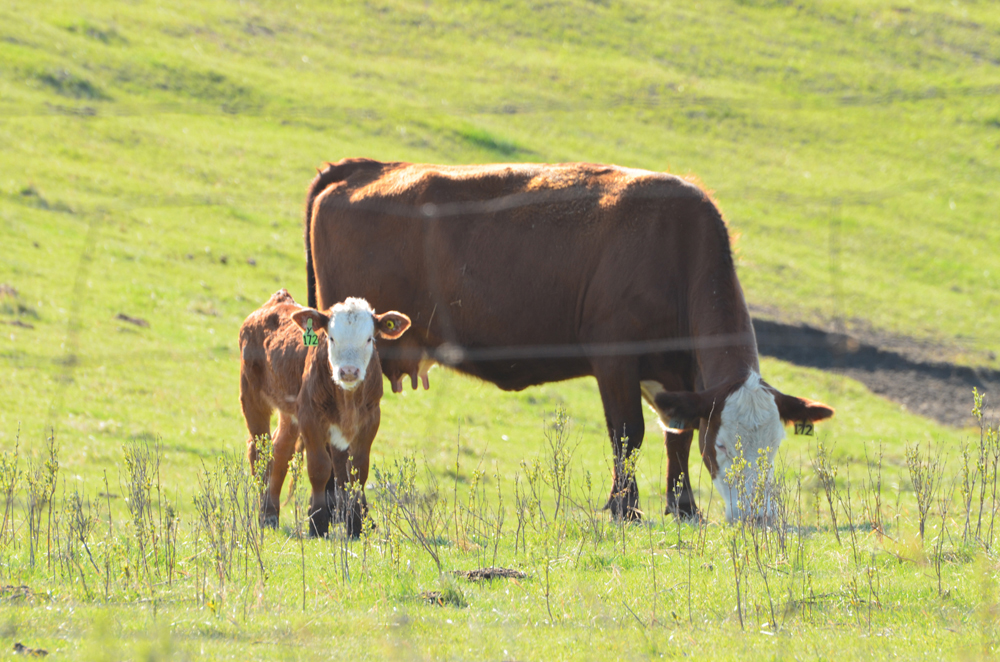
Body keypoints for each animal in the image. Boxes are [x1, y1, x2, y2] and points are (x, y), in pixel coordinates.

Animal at [239, 289, 411, 536]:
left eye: (369, 339)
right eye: (331, 338)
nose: (348, 371)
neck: (347, 399)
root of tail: (275, 301)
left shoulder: (370, 419)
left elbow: (356, 470)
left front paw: (355, 524)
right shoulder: (310, 416)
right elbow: (320, 467)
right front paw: (318, 522)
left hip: (290, 412)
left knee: (280, 449)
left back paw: (272, 513)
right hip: (252, 395)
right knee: (260, 450)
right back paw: (265, 514)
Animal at [303, 159, 834, 523]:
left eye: (775, 447)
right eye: (721, 447)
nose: (756, 517)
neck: (675, 250)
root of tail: (363, 168)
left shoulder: (679, 377)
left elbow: (677, 437)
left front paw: (683, 508)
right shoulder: (615, 360)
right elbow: (628, 434)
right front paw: (625, 508)